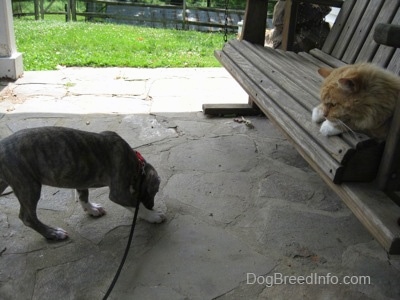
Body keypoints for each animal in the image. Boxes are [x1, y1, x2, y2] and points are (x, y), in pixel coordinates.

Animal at [0, 126, 166, 239]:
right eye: (153, 192)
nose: (152, 206)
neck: (137, 166)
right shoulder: (119, 193)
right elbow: (136, 205)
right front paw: (152, 215)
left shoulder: (80, 178)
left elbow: (83, 195)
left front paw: (91, 209)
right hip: (28, 185)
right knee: (27, 217)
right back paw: (53, 233)